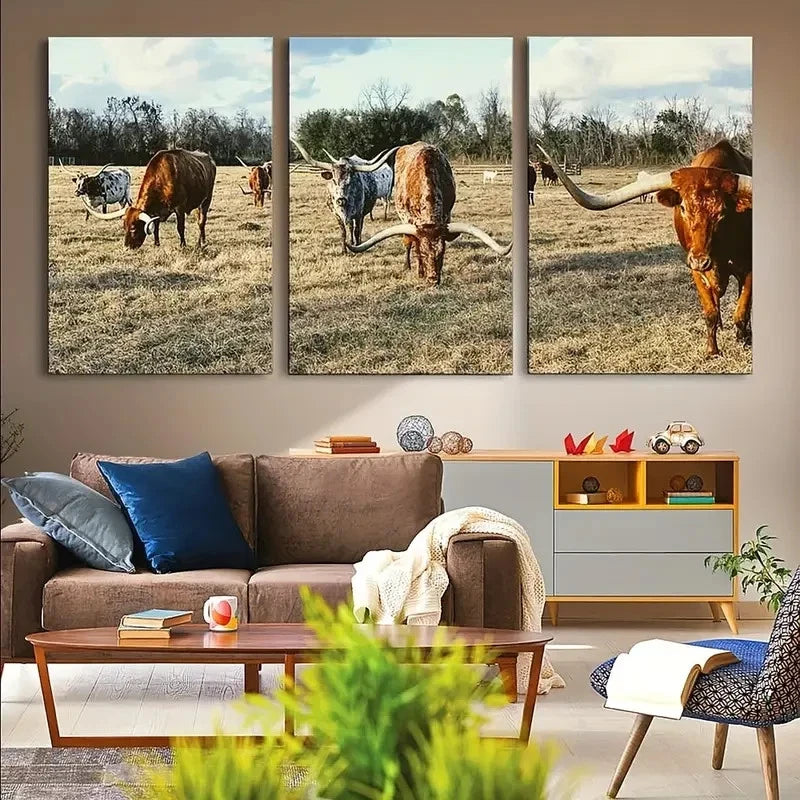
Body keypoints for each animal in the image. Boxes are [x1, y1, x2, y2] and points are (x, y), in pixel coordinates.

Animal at [83, 149, 217, 249]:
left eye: (133, 228)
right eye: (124, 227)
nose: (126, 247)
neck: (163, 177)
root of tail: (210, 159)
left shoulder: (180, 208)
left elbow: (180, 228)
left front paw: (182, 245)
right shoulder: (156, 211)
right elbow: (156, 227)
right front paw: (156, 244)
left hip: (207, 199)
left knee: (202, 221)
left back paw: (201, 242)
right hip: (198, 203)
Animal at [344, 142, 512, 285]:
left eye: (442, 254)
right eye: (424, 254)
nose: (433, 280)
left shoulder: (446, 216)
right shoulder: (410, 222)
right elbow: (415, 246)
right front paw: (420, 271)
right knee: (408, 243)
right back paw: (408, 266)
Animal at [537, 140, 752, 358]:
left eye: (723, 212)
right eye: (683, 207)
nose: (700, 260)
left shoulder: (748, 269)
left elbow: (742, 311)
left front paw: (743, 340)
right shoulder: (696, 271)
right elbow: (711, 313)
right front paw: (712, 351)